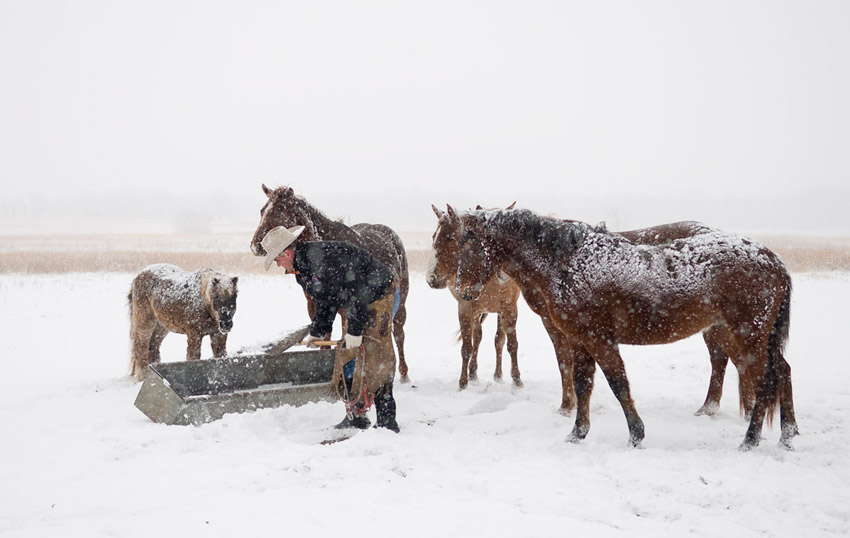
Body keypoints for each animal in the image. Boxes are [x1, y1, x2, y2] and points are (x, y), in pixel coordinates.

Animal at [248, 184, 410, 382]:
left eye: (278, 213)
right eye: (261, 211)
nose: (255, 246)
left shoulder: (349, 307)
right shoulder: (315, 304)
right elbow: (323, 336)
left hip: (400, 302)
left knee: (398, 333)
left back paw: (403, 373)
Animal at [458, 207, 796, 450]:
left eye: (467, 244)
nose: (463, 292)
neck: (569, 263)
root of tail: (775, 261)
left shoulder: (599, 340)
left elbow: (618, 384)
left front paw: (636, 434)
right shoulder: (581, 342)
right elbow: (583, 385)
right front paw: (577, 434)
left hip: (747, 335)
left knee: (765, 380)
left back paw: (750, 440)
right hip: (748, 336)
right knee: (781, 371)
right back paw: (787, 434)